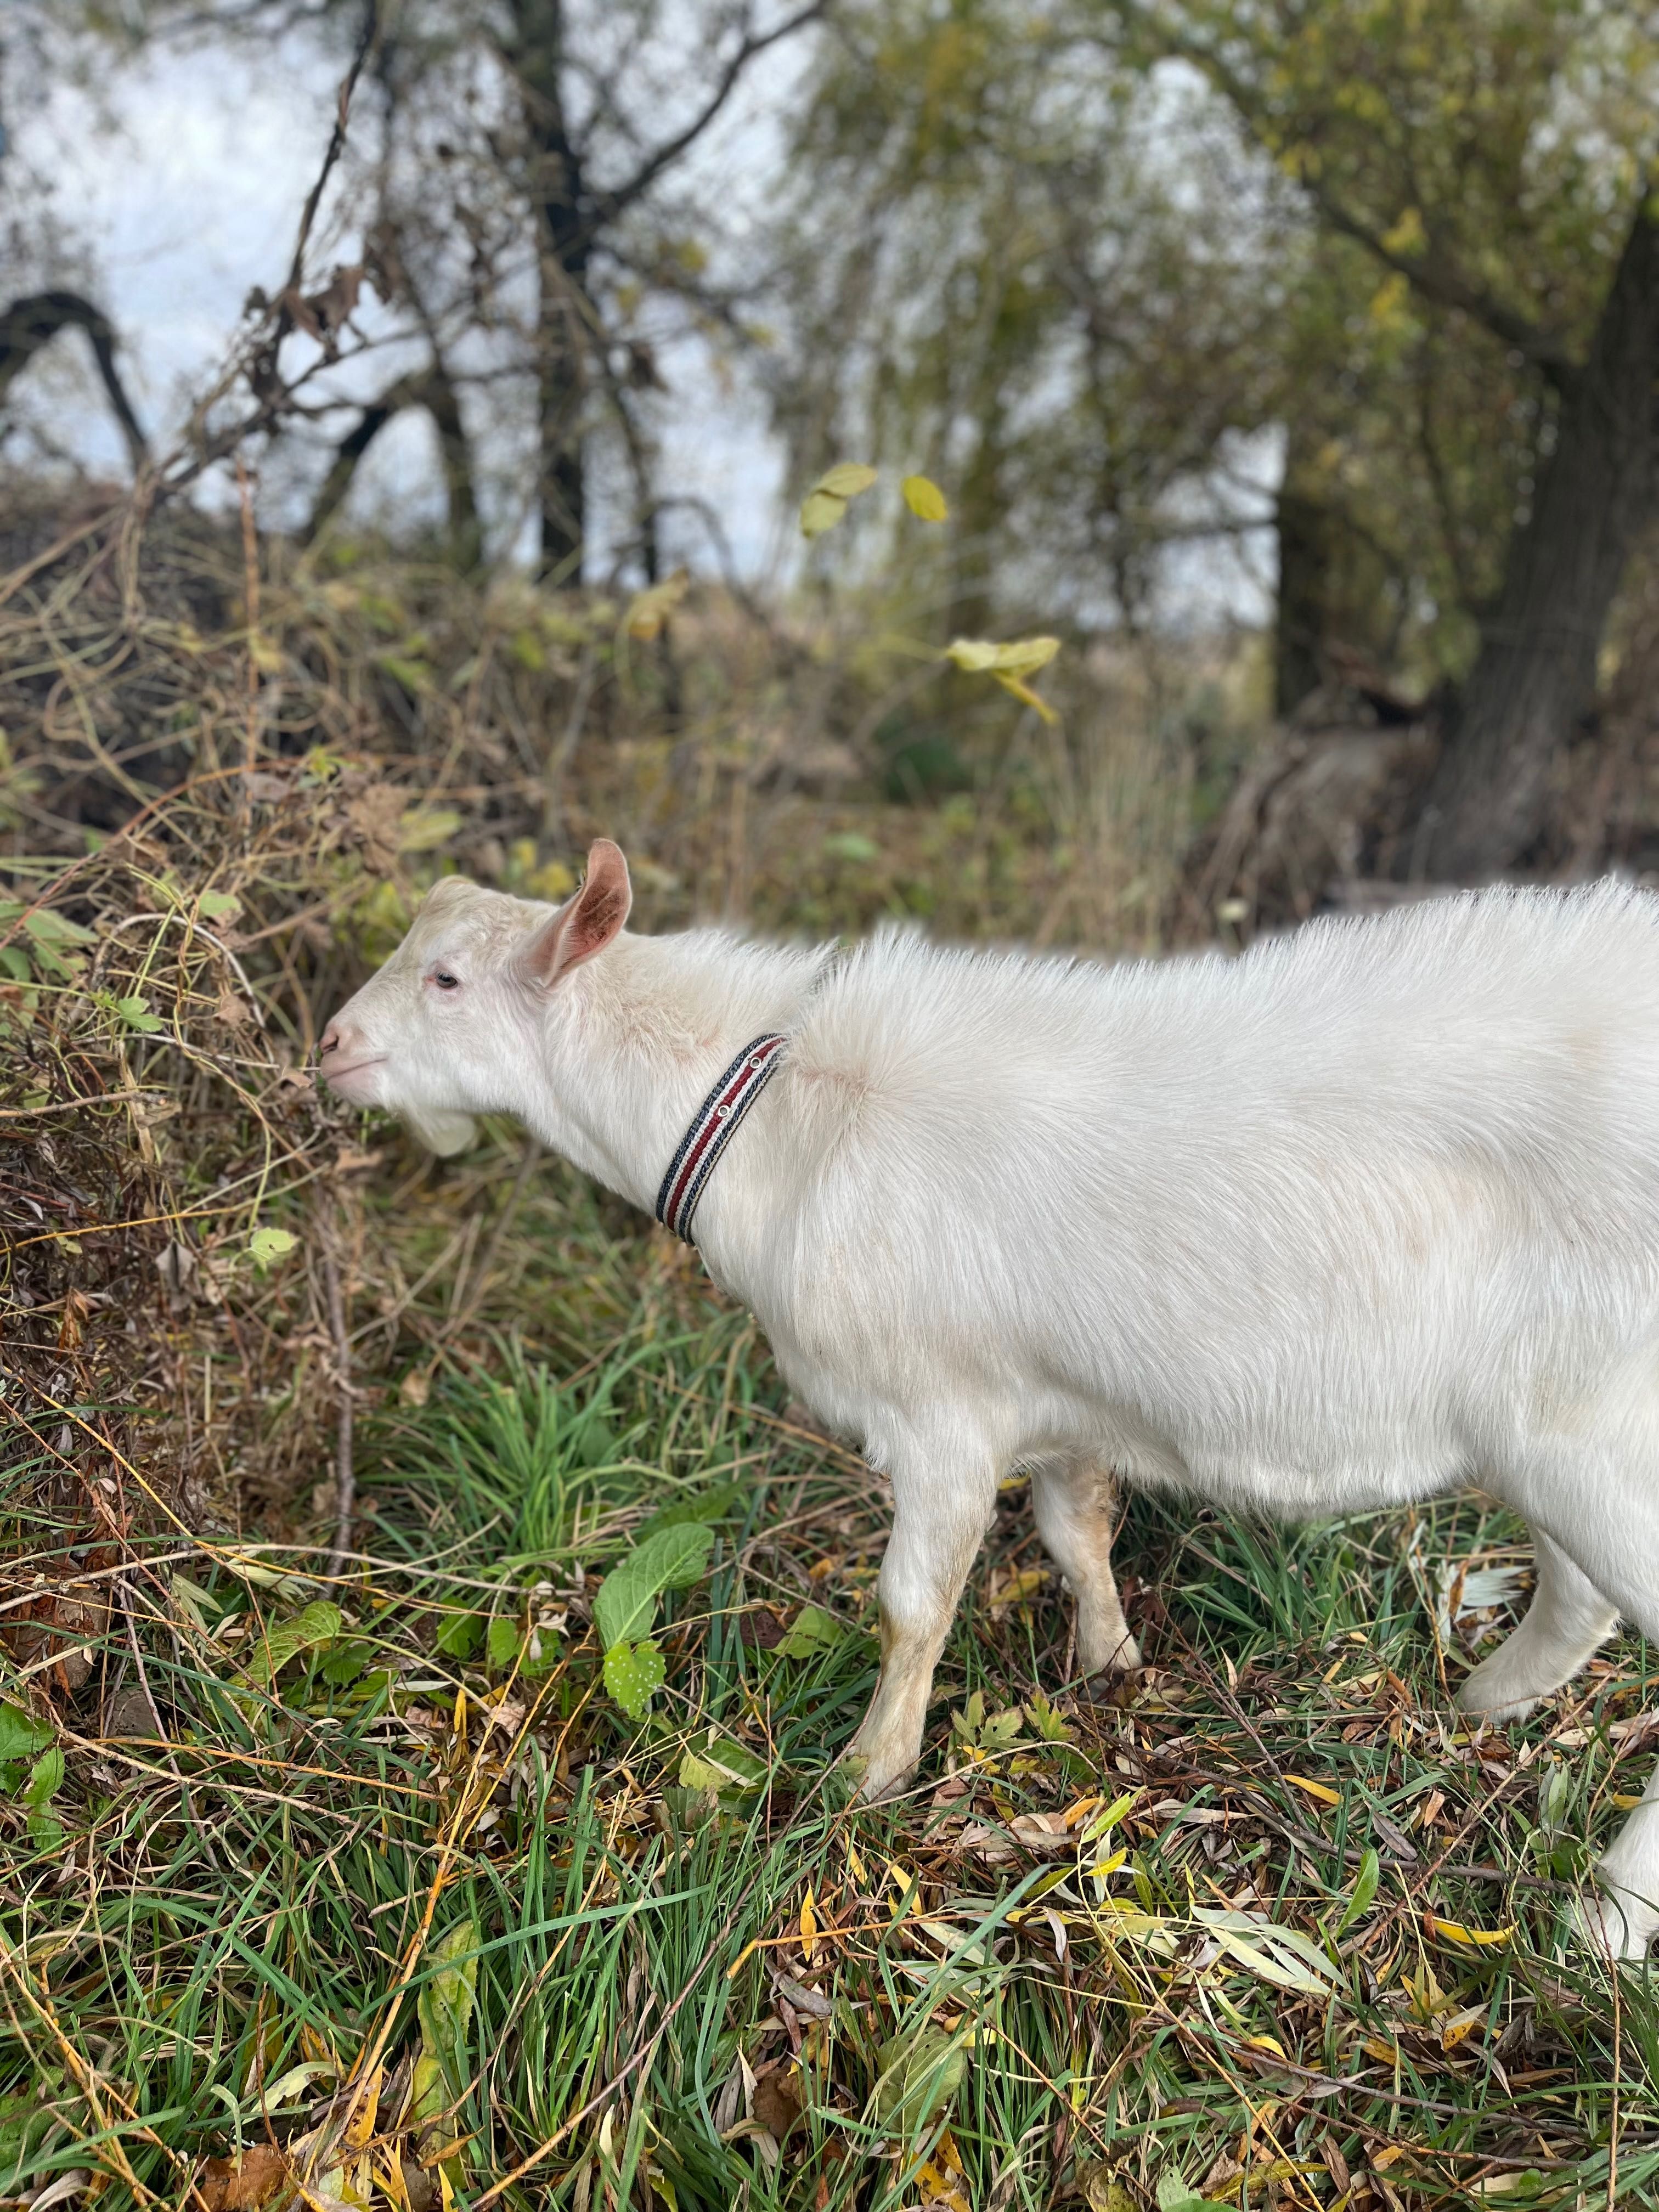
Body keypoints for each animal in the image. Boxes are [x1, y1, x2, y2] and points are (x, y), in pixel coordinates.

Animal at [320, 840, 1659, 1955]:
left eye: (446, 978)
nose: (330, 1043)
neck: (786, 1118)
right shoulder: (1056, 1400)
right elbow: (1076, 1531)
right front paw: (1108, 1663)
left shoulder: (938, 1415)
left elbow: (912, 1603)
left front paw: (867, 1775)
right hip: (1550, 1436)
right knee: (1578, 1593)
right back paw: (1484, 1705)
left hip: (1594, 1432)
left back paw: (1605, 1922)